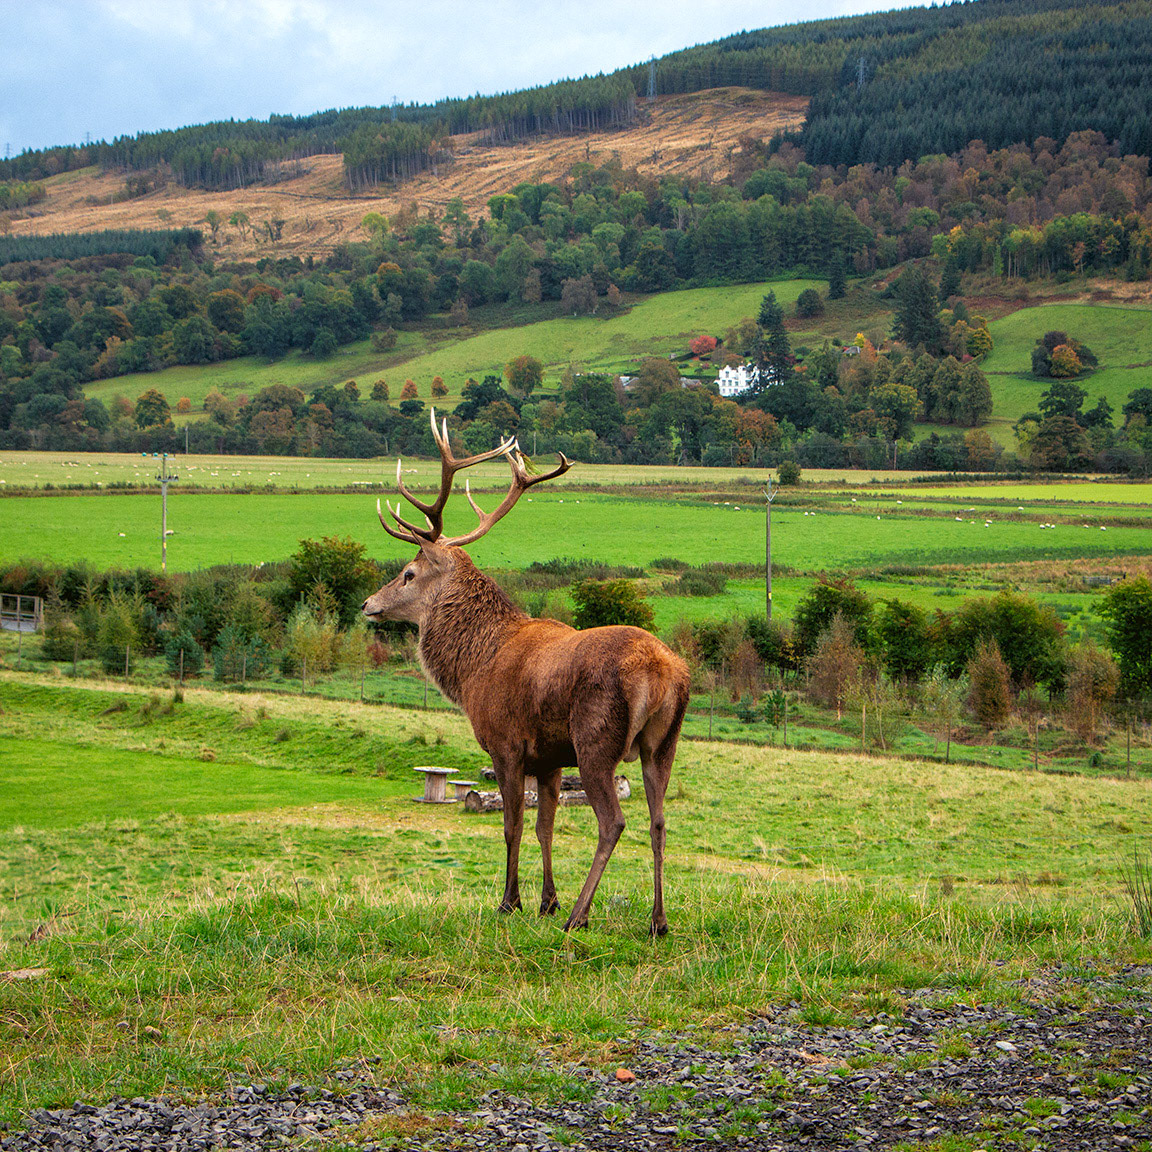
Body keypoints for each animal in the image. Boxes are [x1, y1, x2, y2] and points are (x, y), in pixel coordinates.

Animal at [362, 409, 690, 935]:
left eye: (408, 574)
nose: (369, 604)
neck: (472, 669)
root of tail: (662, 673)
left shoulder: (507, 743)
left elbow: (512, 824)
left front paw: (511, 902)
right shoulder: (550, 757)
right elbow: (545, 827)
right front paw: (546, 901)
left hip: (596, 738)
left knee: (614, 822)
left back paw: (579, 915)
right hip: (663, 742)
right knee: (659, 821)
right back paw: (658, 922)